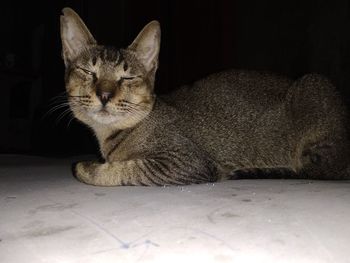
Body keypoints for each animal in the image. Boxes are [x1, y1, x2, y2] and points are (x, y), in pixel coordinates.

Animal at [60, 7, 350, 187]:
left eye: (127, 78)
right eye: (88, 72)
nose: (104, 94)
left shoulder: (186, 162)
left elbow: (125, 169)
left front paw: (86, 168)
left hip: (313, 86)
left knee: (316, 169)